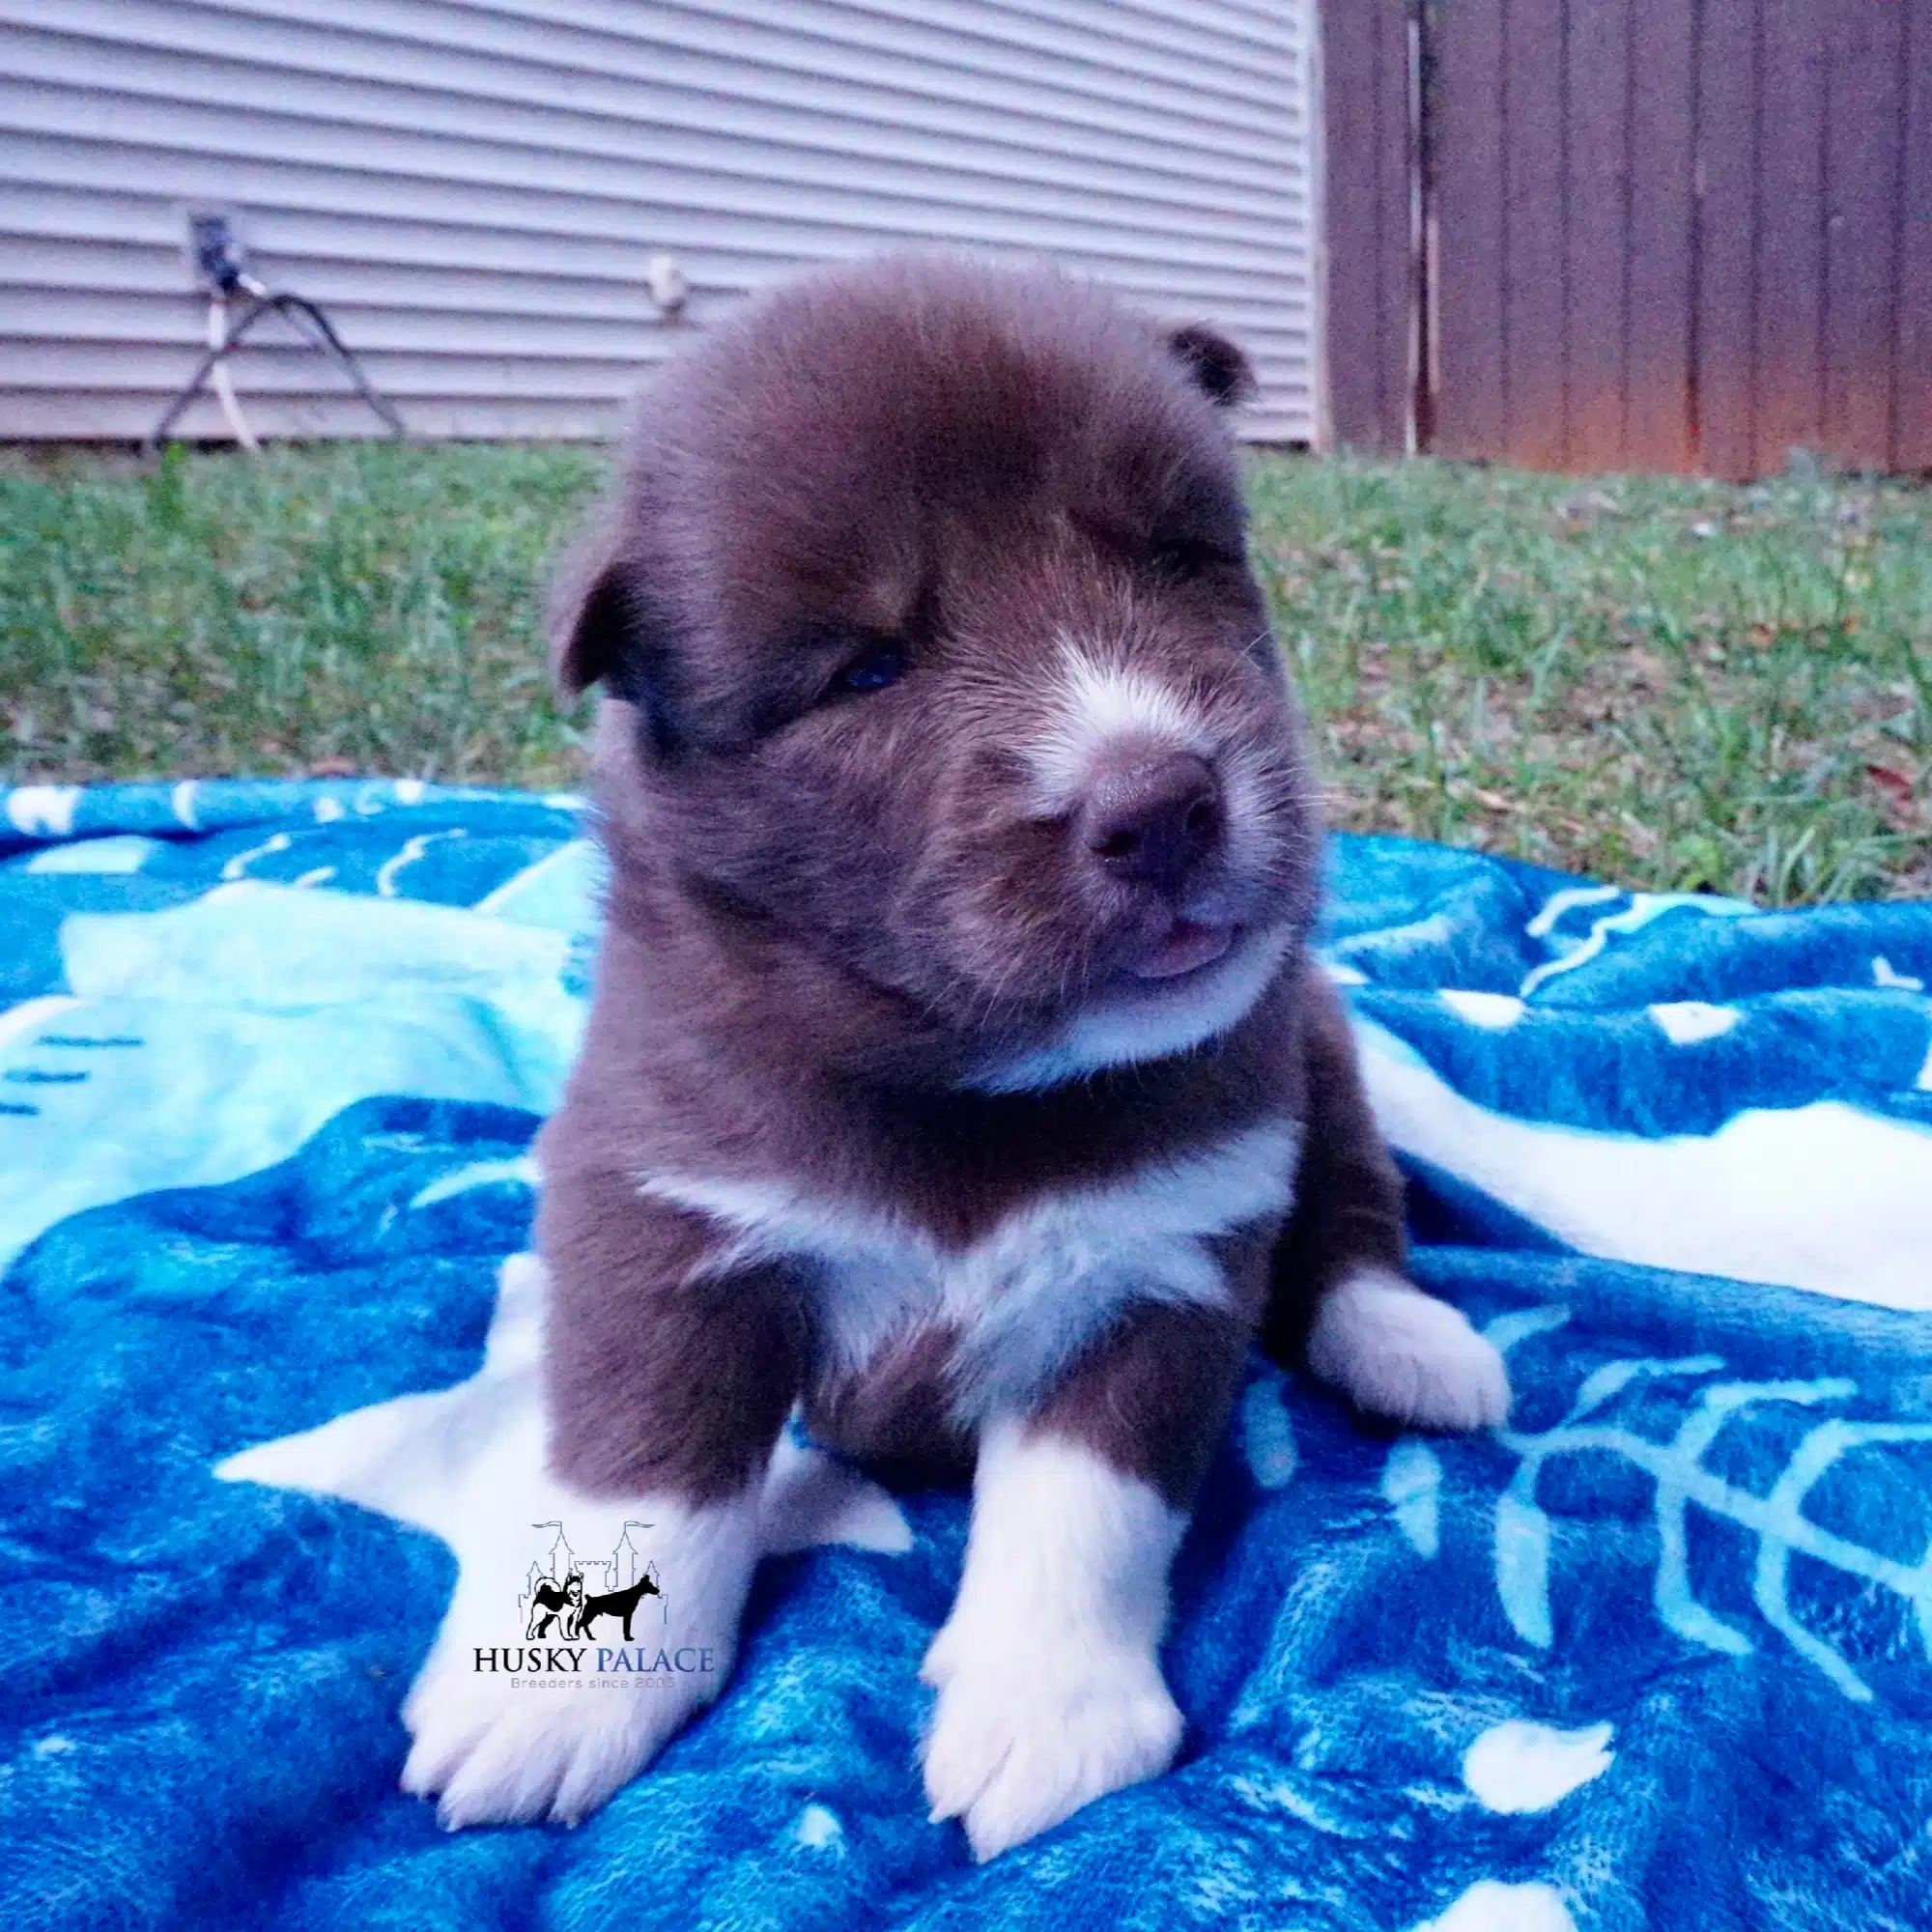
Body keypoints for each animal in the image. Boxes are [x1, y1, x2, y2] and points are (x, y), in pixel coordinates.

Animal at [400, 257, 1507, 1855]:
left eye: (1180, 559)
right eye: (869, 668)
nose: (1163, 805)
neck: (971, 1083)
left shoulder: (1166, 1256)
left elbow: (1085, 1507)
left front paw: (1048, 1710)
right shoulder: (663, 1213)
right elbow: (641, 1459)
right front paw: (560, 1700)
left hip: (1323, 1053)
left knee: (1355, 1216)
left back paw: (1414, 1347)